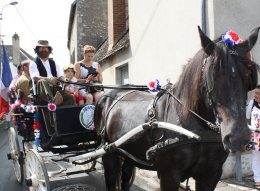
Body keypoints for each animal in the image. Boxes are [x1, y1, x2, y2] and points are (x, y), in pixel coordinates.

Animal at [95, 27, 260, 191]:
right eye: (212, 76)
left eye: (248, 76)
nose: (238, 138)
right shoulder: (169, 175)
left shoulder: (211, 174)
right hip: (109, 153)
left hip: (129, 153)